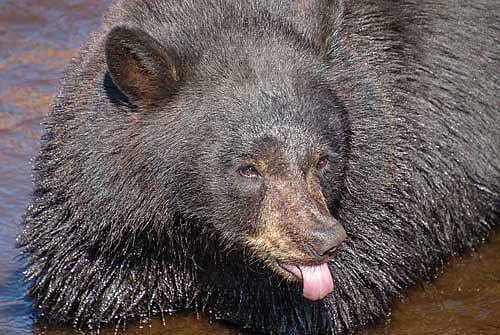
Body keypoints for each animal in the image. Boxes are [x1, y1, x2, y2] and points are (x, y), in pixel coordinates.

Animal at [17, 0, 498, 335]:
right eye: (249, 169)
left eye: (323, 160)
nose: (325, 240)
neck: (199, 240)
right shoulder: (102, 227)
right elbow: (85, 288)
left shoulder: (382, 185)